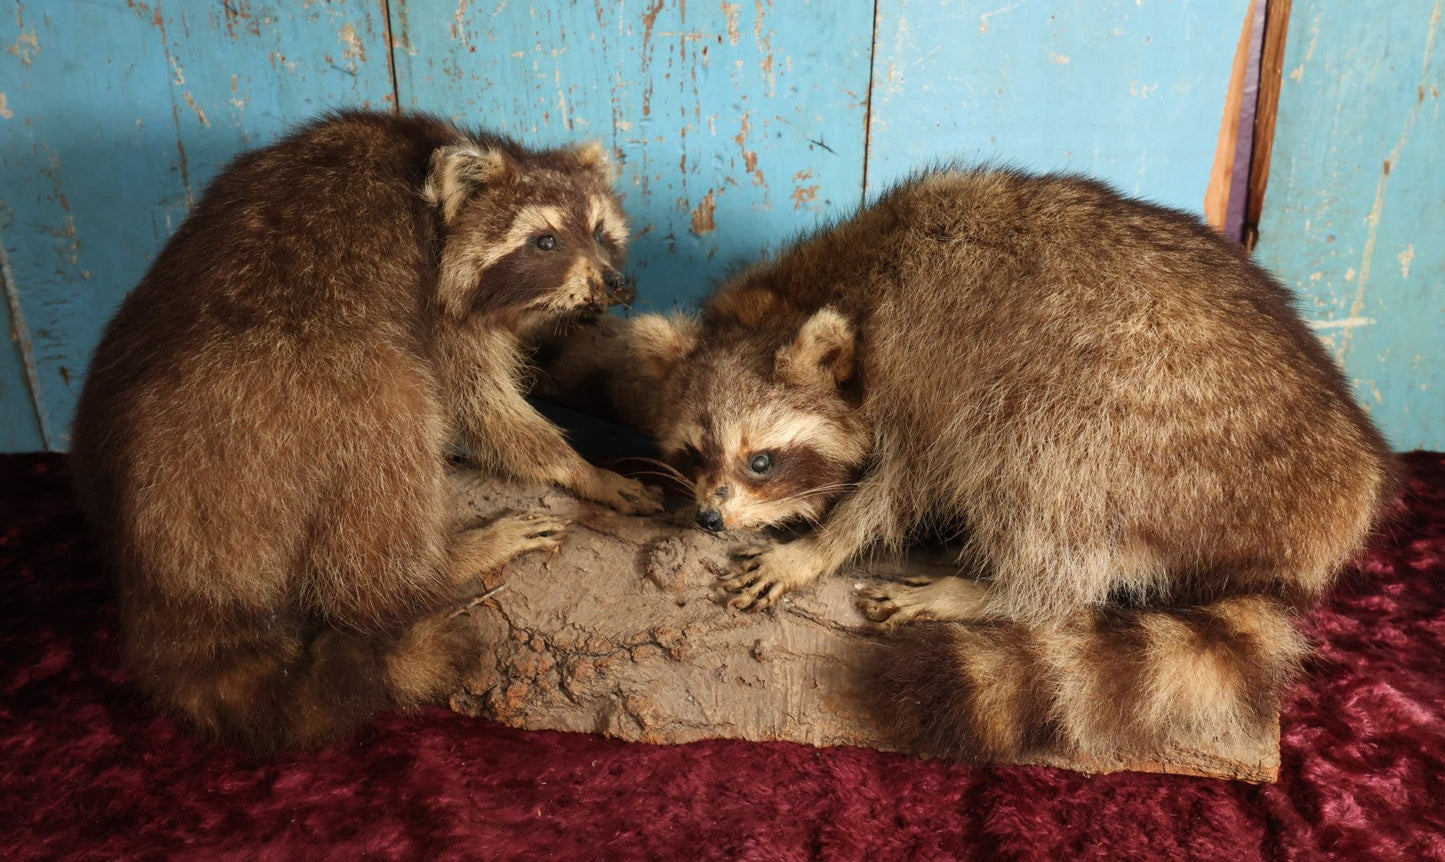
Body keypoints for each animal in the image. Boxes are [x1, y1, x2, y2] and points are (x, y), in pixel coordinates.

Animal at [71, 109, 664, 750]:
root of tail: (161, 573)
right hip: (269, 419)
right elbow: (481, 403)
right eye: (545, 240)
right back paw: (435, 568)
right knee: (390, 427)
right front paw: (582, 468)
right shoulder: (436, 307)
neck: (440, 202)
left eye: (601, 232)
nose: (613, 283)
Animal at [627, 168, 1392, 762]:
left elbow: (905, 479)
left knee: (1045, 473)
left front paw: (819, 546)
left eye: (761, 461)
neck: (823, 284)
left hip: (1158, 426)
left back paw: (998, 590)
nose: (709, 515)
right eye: (693, 452)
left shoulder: (922, 361)